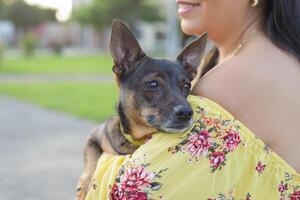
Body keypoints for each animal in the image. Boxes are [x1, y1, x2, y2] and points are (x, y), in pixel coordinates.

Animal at [75, 19, 206, 200]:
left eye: (186, 85)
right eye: (153, 84)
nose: (187, 113)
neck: (137, 139)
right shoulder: (94, 136)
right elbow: (90, 161)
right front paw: (85, 185)